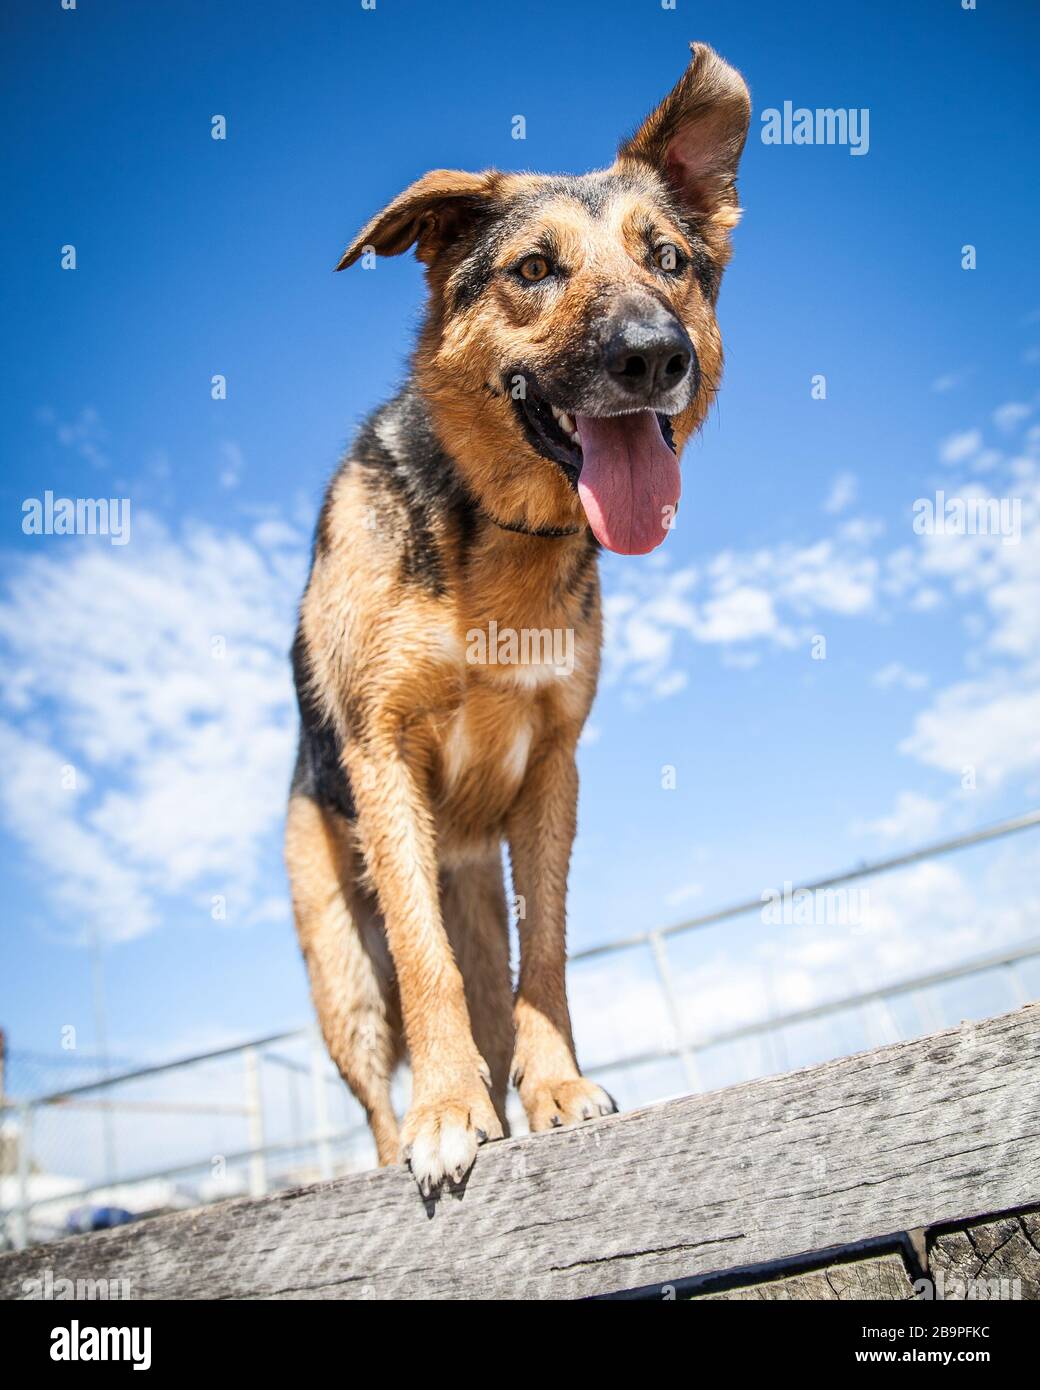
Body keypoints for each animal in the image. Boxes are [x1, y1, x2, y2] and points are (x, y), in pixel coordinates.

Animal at [286, 43, 745, 1195]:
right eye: (533, 270)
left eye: (668, 260)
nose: (652, 355)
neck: (494, 531)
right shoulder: (382, 756)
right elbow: (425, 962)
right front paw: (448, 1110)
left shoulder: (552, 769)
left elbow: (547, 959)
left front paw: (554, 1090)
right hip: (338, 968)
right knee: (377, 1077)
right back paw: (406, 1131)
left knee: (494, 984)